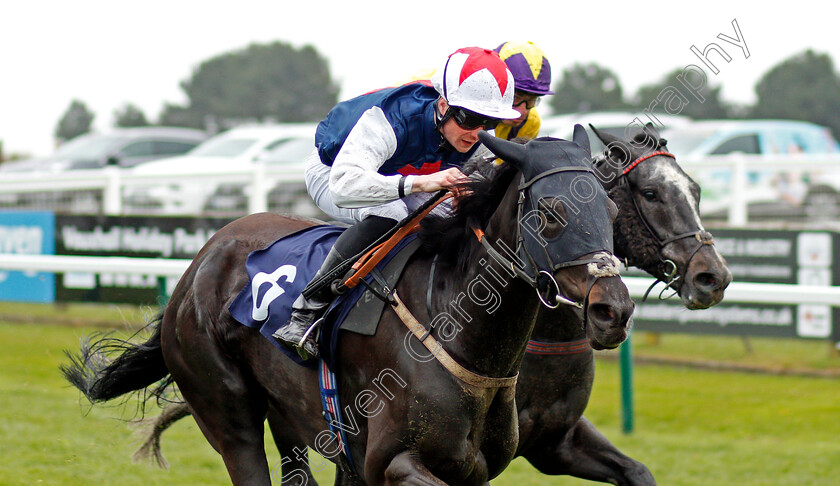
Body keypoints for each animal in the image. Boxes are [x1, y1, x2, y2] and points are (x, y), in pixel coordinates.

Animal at [128, 123, 732, 484]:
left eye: (608, 209)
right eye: (649, 194)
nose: (713, 276)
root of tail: (202, 259)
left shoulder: (541, 444)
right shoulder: (393, 463)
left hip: (294, 421)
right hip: (228, 411)